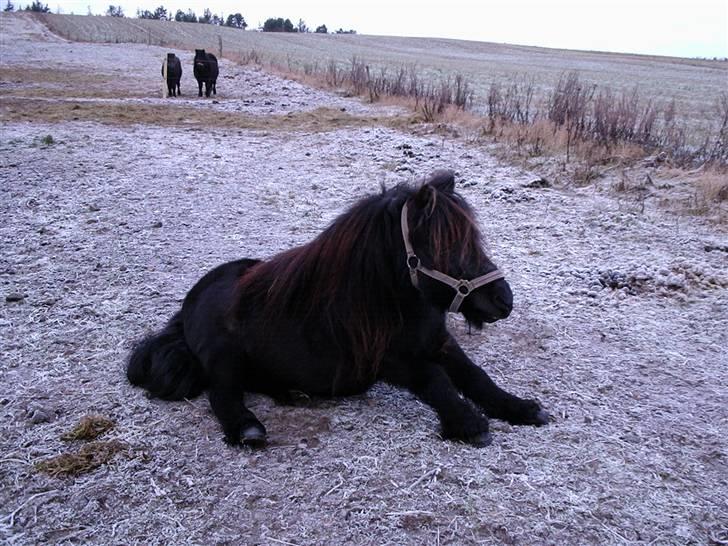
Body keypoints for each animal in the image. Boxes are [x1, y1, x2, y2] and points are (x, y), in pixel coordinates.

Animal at [128, 170, 548, 446]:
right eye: (448, 250)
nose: (504, 300)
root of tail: (192, 298)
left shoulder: (441, 343)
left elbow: (475, 376)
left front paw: (520, 408)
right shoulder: (390, 362)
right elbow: (436, 380)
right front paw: (468, 423)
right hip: (223, 356)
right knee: (222, 392)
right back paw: (247, 428)